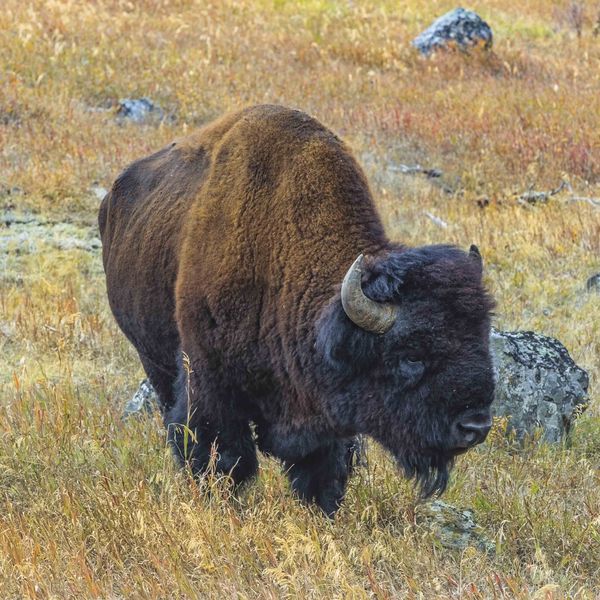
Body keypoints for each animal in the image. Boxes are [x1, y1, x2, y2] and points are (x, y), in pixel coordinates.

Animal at [101, 103, 494, 516]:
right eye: (411, 356)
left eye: (481, 340)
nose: (475, 426)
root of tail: (112, 196)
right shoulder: (209, 382)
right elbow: (223, 455)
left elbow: (324, 469)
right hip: (153, 358)